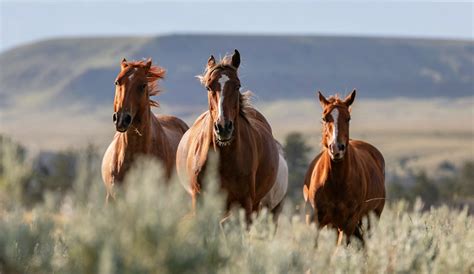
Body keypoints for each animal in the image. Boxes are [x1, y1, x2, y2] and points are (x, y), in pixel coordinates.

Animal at [177, 49, 288, 223]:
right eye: (208, 87)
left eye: (237, 86)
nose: (223, 127)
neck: (223, 159)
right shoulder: (200, 201)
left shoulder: (245, 204)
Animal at [304, 90, 386, 244]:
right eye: (324, 118)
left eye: (348, 118)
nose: (337, 148)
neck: (336, 183)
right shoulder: (315, 221)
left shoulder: (349, 223)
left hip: (370, 221)